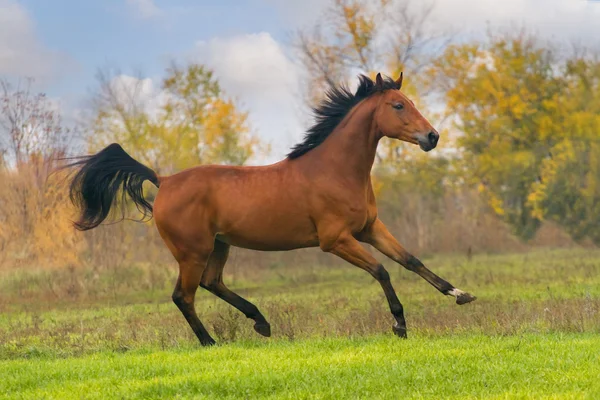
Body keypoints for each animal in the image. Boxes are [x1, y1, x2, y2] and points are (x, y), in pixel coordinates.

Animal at [65, 72, 476, 346]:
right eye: (398, 105)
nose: (432, 137)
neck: (335, 170)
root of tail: (163, 180)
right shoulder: (336, 240)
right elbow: (382, 270)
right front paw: (399, 327)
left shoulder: (370, 228)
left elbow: (411, 260)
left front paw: (460, 295)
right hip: (192, 251)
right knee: (184, 295)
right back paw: (211, 342)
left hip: (219, 245)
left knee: (212, 283)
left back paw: (261, 323)